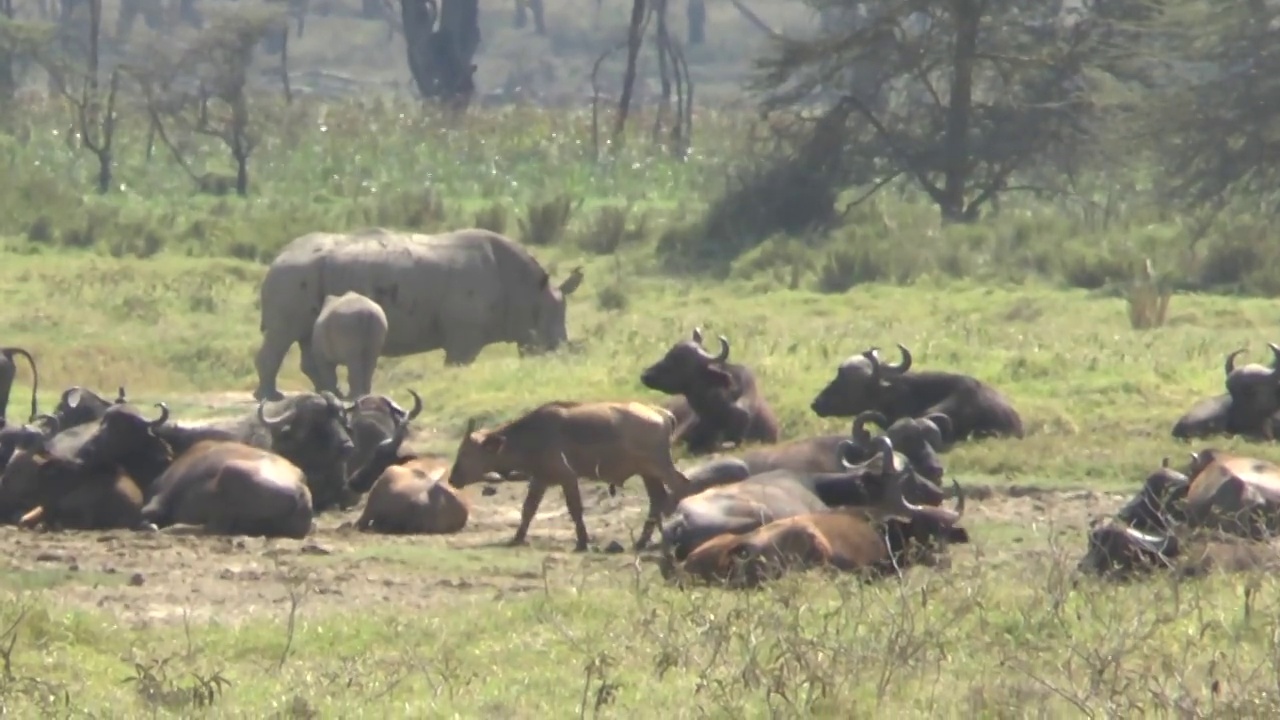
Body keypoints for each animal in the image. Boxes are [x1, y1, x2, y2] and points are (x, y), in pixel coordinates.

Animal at [248, 226, 586, 399]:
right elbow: (458, 363)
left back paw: (331, 393)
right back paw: (271, 397)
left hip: (305, 275)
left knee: (306, 337)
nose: (557, 355)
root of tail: (278, 256)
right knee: (283, 334)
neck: (528, 291)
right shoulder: (465, 334)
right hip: (293, 274)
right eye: (546, 333)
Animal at [448, 397, 696, 548]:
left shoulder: (567, 478)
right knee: (657, 500)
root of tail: (661, 413)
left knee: (680, 487)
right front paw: (517, 538)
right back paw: (643, 541)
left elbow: (575, 509)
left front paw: (582, 541)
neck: (532, 435)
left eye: (466, 453)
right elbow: (528, 509)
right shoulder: (540, 479)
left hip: (660, 467)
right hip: (648, 473)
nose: (453, 478)